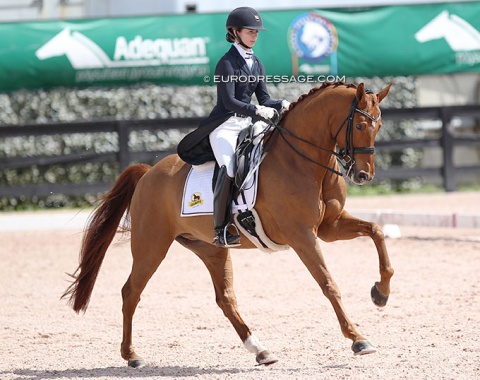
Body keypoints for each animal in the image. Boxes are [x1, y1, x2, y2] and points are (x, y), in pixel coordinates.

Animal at [62, 81, 394, 368]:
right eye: (360, 125)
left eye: (378, 126)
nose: (364, 175)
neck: (304, 162)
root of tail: (147, 173)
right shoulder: (302, 236)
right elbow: (329, 284)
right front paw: (358, 339)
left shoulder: (329, 227)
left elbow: (376, 232)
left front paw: (380, 293)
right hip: (151, 247)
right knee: (131, 292)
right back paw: (132, 356)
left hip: (210, 248)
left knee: (225, 298)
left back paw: (260, 350)